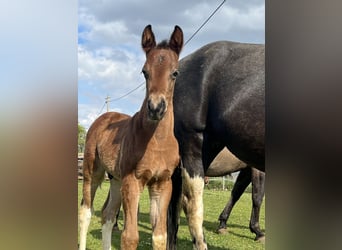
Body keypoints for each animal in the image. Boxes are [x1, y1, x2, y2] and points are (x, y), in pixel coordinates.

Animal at [78, 25, 183, 250]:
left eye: (175, 73)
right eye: (144, 72)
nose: (155, 107)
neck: (157, 142)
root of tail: (105, 116)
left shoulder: (162, 184)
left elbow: (159, 236)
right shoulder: (132, 181)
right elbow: (130, 237)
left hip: (115, 179)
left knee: (107, 215)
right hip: (93, 173)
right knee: (86, 212)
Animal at [168, 40, 264, 249]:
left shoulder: (247, 167)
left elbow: (237, 191)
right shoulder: (255, 168)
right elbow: (256, 196)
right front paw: (257, 231)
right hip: (192, 145)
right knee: (190, 203)